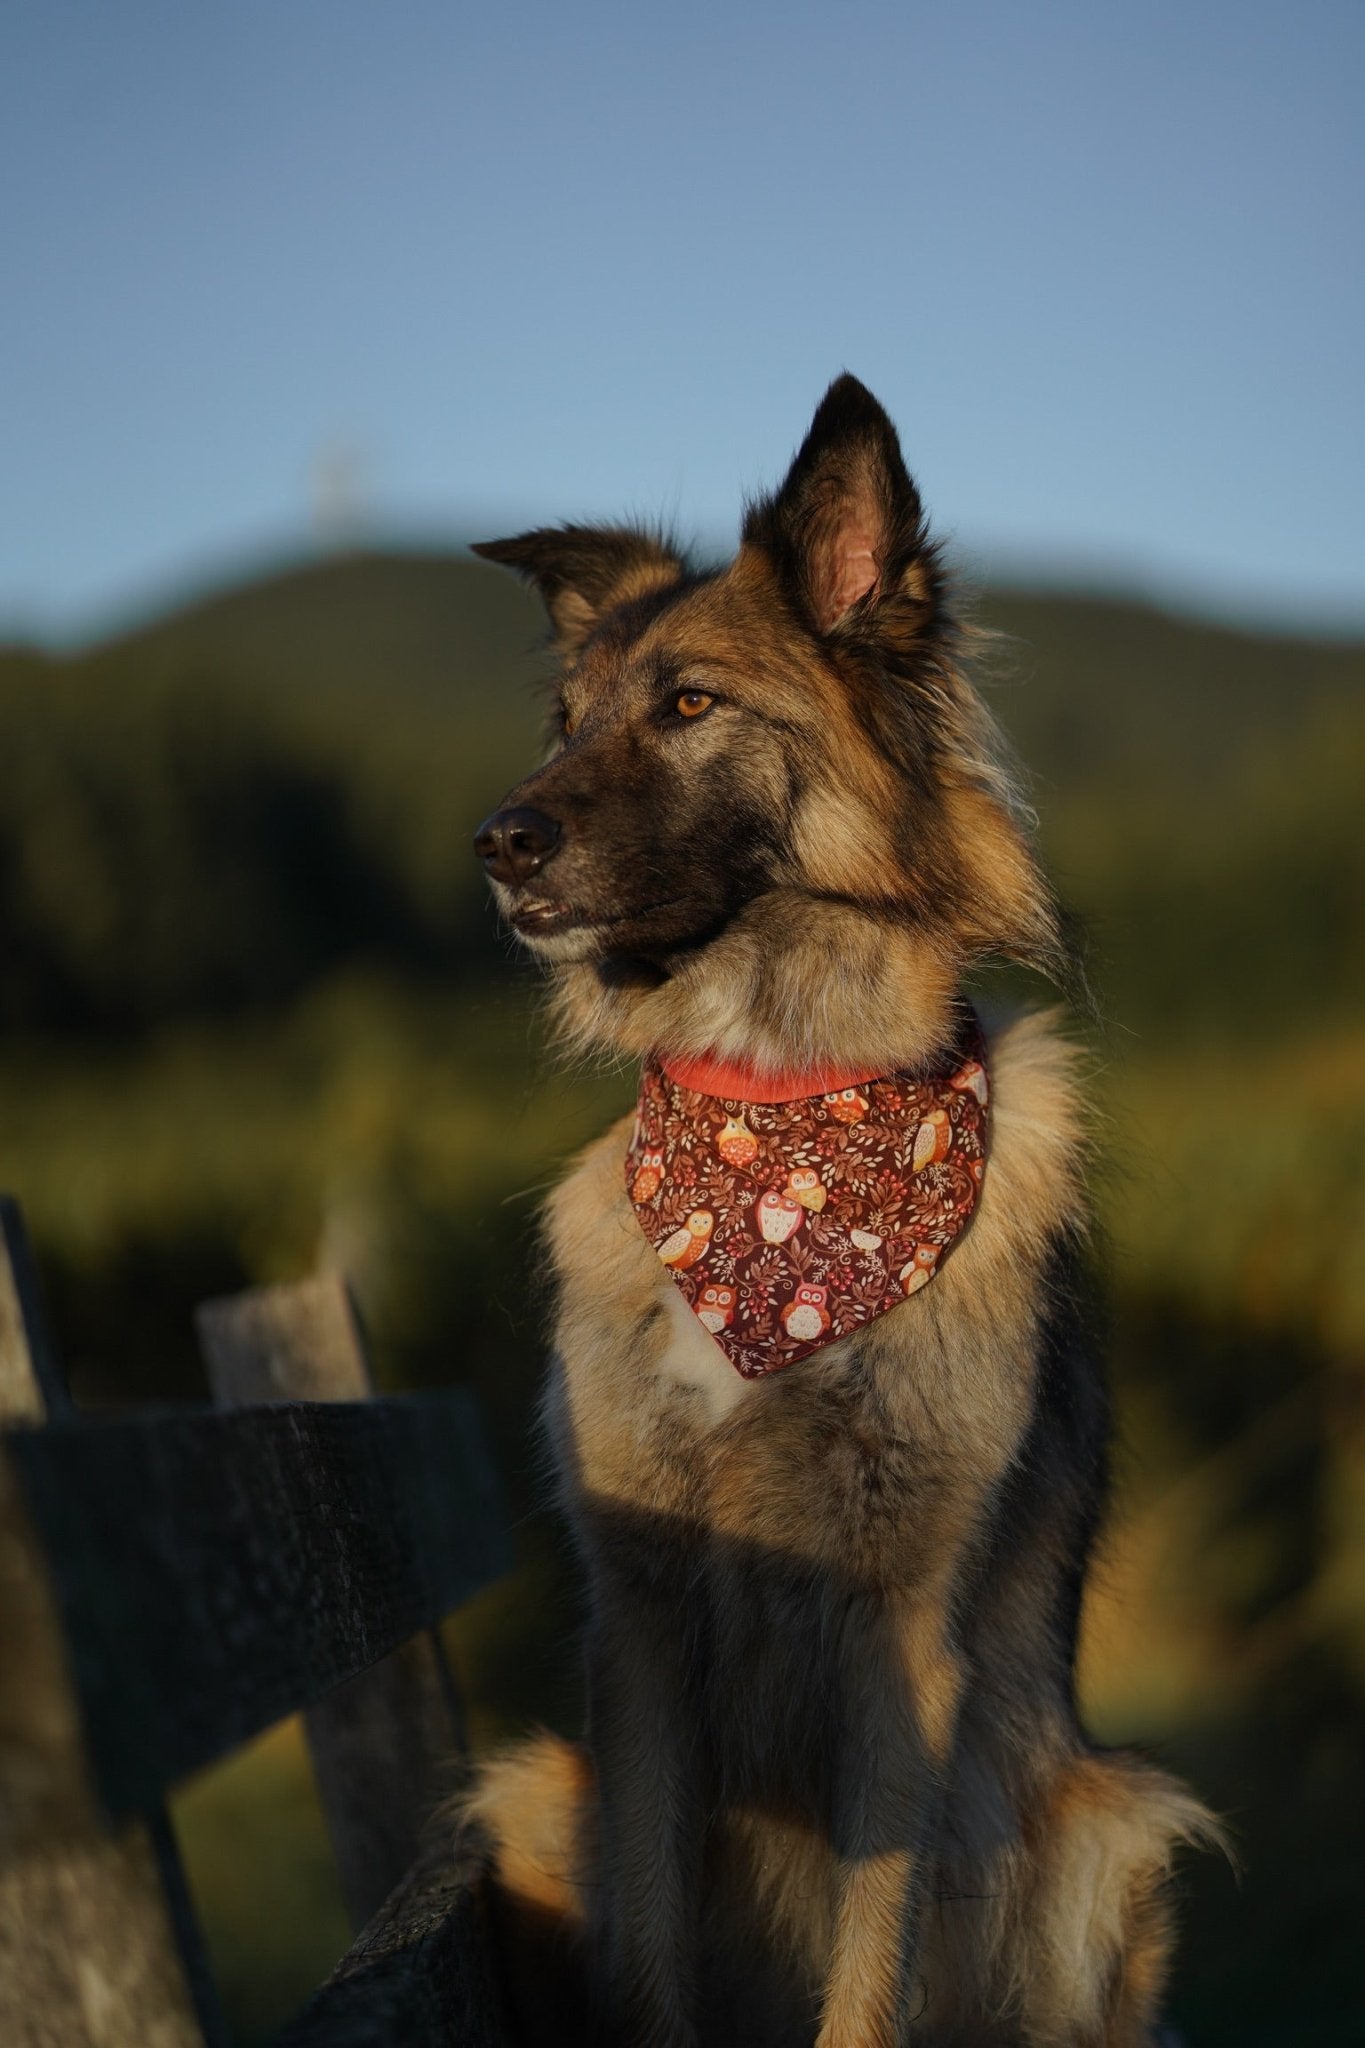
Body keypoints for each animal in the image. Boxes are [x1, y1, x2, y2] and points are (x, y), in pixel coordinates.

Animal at [464, 376, 1214, 2047]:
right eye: (564, 721)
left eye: (689, 706)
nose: (497, 844)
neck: (785, 1137)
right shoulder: (642, 1619)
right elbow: (653, 1956)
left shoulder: (903, 1624)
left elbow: (873, 1966)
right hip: (536, 1791)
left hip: (1113, 1829)